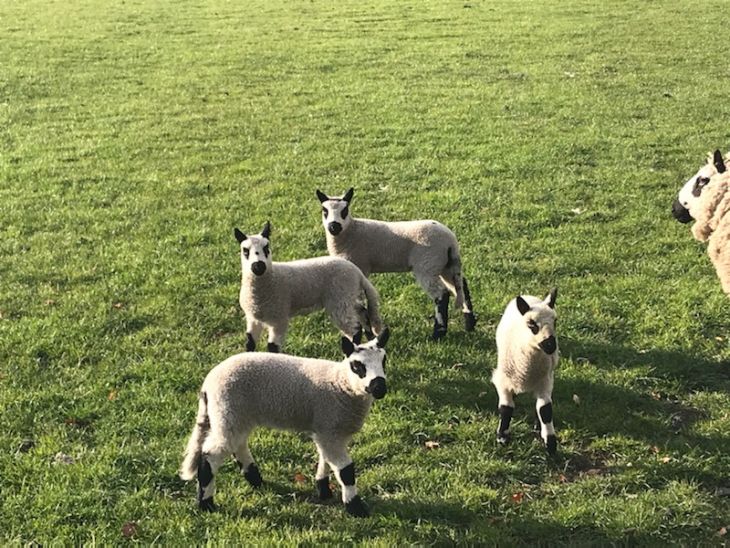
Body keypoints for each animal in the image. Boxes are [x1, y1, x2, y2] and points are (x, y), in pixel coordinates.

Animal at [178, 330, 390, 520]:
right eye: (357, 366)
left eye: (384, 361)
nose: (379, 387)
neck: (341, 383)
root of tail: (208, 384)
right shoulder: (330, 429)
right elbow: (345, 471)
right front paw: (356, 508)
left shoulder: (326, 429)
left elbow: (325, 460)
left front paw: (323, 490)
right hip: (228, 409)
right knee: (211, 455)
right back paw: (206, 504)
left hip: (235, 416)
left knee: (238, 445)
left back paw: (256, 481)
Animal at [235, 222, 384, 354]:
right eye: (245, 251)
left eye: (267, 248)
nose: (258, 266)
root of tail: (357, 272)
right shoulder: (253, 319)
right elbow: (250, 343)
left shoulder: (279, 319)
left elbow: (273, 348)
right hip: (348, 297)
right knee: (363, 313)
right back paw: (370, 338)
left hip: (339, 299)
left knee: (355, 329)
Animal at [314, 191, 474, 340]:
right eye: (324, 210)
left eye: (345, 210)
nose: (334, 226)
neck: (351, 231)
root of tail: (451, 241)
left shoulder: (359, 268)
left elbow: (360, 305)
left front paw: (369, 334)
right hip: (444, 265)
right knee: (461, 286)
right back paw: (469, 324)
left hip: (427, 265)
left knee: (442, 294)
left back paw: (438, 333)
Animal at [492, 292, 560, 454]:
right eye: (531, 324)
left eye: (555, 321)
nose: (550, 345)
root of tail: (529, 296)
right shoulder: (502, 382)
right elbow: (506, 408)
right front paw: (502, 437)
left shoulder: (545, 382)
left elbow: (545, 410)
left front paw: (550, 443)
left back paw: (538, 425)